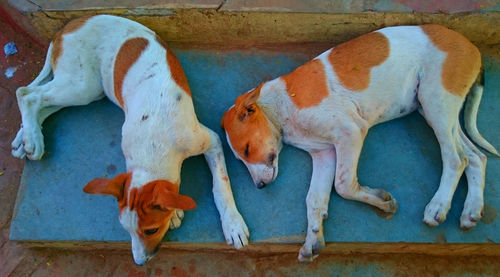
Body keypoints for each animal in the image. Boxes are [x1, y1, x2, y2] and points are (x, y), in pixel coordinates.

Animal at [10, 15, 248, 266]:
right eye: (126, 231)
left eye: (151, 230)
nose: (139, 262)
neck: (153, 141)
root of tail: (71, 24)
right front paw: (175, 212)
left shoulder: (210, 140)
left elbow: (221, 186)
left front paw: (233, 224)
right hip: (81, 85)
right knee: (28, 94)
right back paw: (31, 138)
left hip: (87, 90)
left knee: (34, 99)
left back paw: (26, 139)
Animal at [221, 24, 498, 260]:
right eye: (240, 158)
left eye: (247, 149)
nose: (259, 187)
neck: (280, 107)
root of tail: (472, 46)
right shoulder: (324, 154)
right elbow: (314, 199)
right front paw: (313, 240)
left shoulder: (350, 132)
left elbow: (343, 185)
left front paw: (381, 201)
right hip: (436, 110)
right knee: (476, 156)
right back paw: (471, 211)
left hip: (435, 102)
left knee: (457, 159)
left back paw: (438, 206)